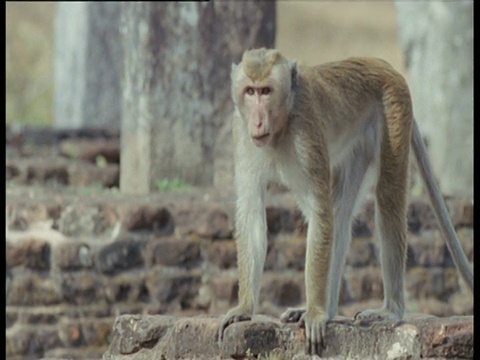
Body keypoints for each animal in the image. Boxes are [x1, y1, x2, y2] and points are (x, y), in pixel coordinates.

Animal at [219, 47, 474, 354]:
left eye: (266, 91)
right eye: (250, 91)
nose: (257, 121)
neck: (282, 124)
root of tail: (381, 63)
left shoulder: (306, 130)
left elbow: (319, 214)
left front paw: (315, 313)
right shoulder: (241, 133)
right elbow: (253, 215)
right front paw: (245, 308)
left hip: (394, 108)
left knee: (387, 199)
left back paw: (390, 310)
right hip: (359, 144)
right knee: (340, 215)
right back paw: (330, 311)